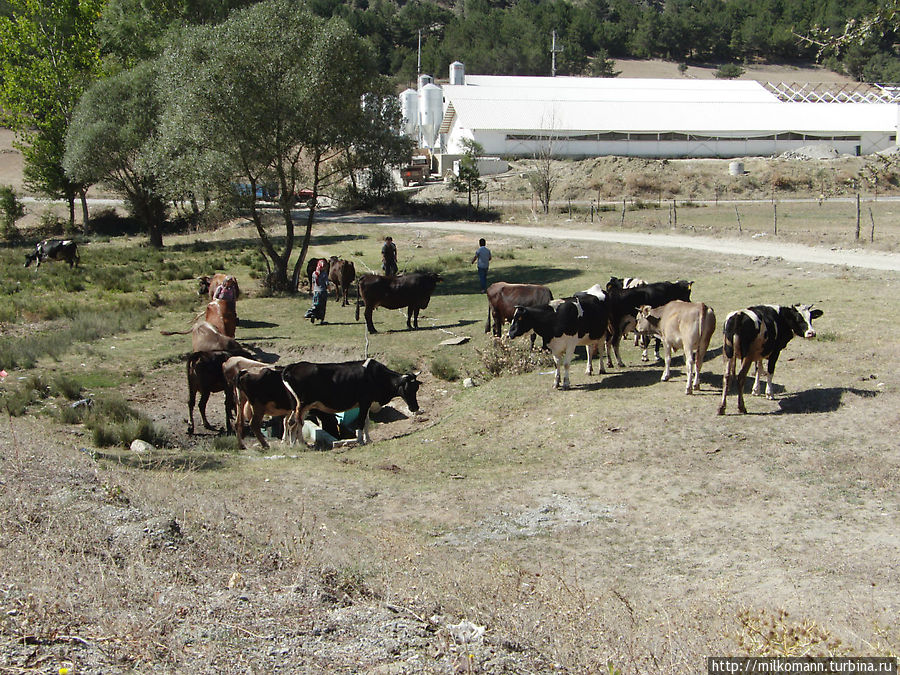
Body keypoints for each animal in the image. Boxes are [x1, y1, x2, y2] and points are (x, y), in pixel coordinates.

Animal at [282, 356, 422, 446]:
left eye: (417, 388)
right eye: (407, 388)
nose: (415, 408)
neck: (377, 377)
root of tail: (293, 366)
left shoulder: (367, 404)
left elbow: (366, 422)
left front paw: (368, 440)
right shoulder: (364, 402)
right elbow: (361, 422)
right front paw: (360, 441)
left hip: (299, 406)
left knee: (293, 422)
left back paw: (296, 443)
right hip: (302, 405)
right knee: (295, 422)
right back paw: (298, 444)